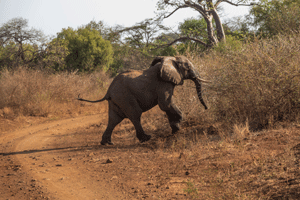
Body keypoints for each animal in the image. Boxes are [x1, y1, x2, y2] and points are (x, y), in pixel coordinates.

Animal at [77, 55, 209, 145]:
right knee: (135, 115)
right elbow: (165, 104)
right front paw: (178, 124)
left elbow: (166, 106)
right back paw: (146, 138)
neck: (171, 59)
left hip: (117, 100)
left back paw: (107, 143)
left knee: (114, 119)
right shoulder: (163, 83)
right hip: (125, 97)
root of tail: (108, 91)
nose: (206, 108)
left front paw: (175, 129)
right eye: (188, 67)